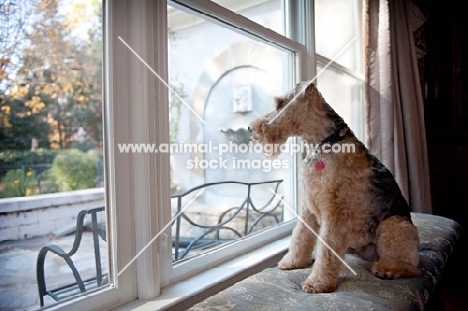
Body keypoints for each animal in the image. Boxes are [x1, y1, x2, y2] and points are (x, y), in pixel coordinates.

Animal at [249, 81, 420, 294]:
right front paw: (292, 262)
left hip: (394, 224)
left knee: (410, 266)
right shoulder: (307, 208)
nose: (250, 129)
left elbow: (325, 250)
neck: (324, 144)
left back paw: (386, 269)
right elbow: (300, 237)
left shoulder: (336, 213)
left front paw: (317, 283)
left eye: (281, 103)